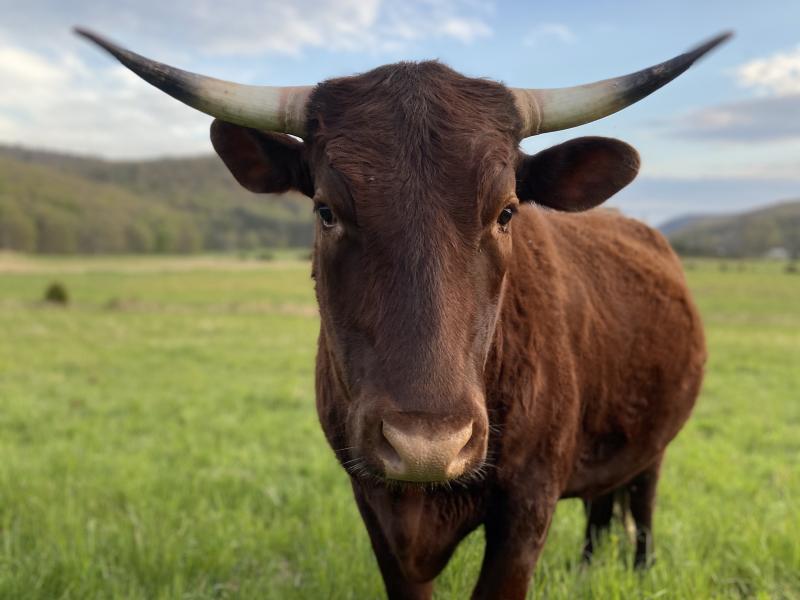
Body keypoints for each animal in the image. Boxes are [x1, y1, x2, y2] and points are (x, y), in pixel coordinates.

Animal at [78, 28, 729, 599]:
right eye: (325, 210)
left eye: (507, 211)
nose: (427, 445)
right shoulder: (374, 502)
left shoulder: (528, 505)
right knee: (600, 508)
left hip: (655, 445)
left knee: (640, 505)